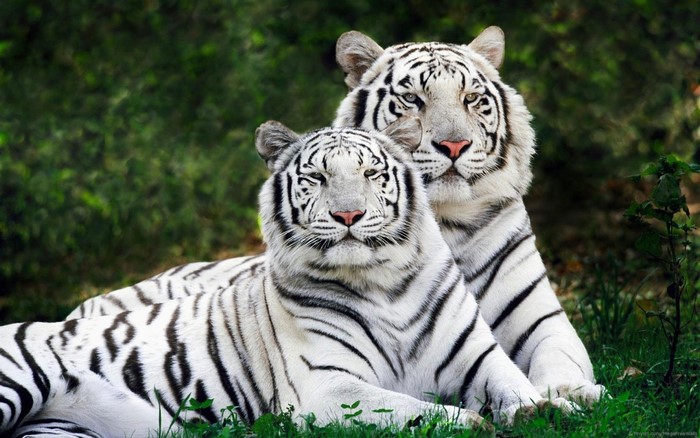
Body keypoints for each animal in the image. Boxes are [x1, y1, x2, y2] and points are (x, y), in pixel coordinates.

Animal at [1, 120, 574, 437]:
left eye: (371, 174)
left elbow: (516, 386)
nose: (348, 215)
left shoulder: (478, 357)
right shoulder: (328, 386)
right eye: (317, 177)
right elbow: (416, 409)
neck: (384, 283)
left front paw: (552, 409)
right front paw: (472, 423)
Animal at [67, 26, 604, 404]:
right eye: (413, 99)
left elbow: (560, 357)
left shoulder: (541, 319)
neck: (446, 222)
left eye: (472, 99)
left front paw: (573, 393)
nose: (453, 145)